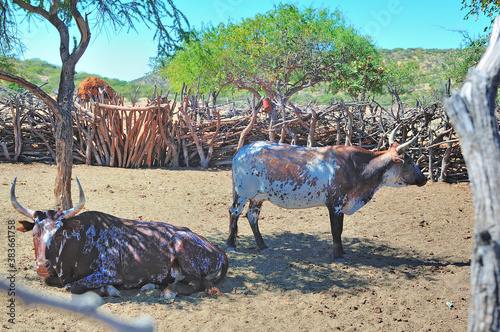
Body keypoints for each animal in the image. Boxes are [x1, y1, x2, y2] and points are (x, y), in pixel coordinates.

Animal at [11, 178, 228, 300]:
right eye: (34, 233)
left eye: (59, 233)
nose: (42, 265)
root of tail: (219, 251)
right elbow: (51, 280)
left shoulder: (109, 273)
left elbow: (74, 286)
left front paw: (108, 290)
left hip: (183, 248)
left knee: (196, 284)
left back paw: (169, 291)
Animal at [227, 127, 426, 260]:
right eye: (408, 160)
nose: (424, 178)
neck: (357, 167)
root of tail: (241, 151)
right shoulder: (335, 204)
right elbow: (336, 230)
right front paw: (338, 255)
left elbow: (340, 230)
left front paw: (342, 252)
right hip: (242, 193)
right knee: (234, 213)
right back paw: (231, 245)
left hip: (258, 197)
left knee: (252, 217)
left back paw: (263, 246)